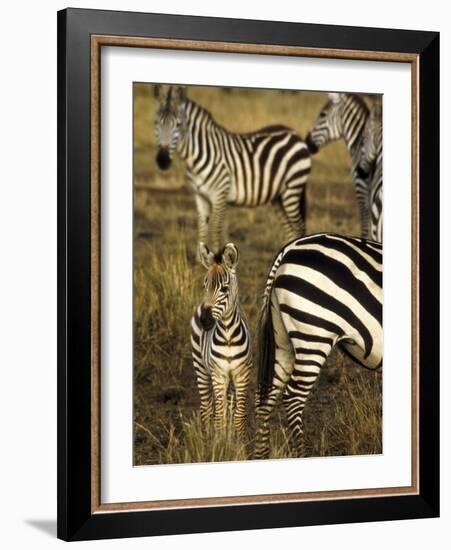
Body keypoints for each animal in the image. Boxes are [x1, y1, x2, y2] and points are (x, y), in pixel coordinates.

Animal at [154, 85, 312, 251]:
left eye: (178, 125)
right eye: (156, 123)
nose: (162, 160)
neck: (200, 154)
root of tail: (294, 133)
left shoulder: (220, 195)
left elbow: (216, 232)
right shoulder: (200, 196)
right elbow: (202, 233)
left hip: (292, 189)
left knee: (299, 227)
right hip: (278, 197)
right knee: (290, 229)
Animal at [191, 242, 254, 440]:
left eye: (224, 289)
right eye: (204, 286)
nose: (204, 320)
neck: (227, 336)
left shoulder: (242, 374)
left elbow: (239, 414)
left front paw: (239, 443)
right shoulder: (218, 375)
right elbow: (219, 415)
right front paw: (219, 443)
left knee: (230, 406)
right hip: (201, 367)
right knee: (206, 406)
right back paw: (206, 437)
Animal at [254, 234, 382, 462]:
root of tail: (288, 249)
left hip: (283, 340)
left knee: (267, 397)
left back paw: (262, 456)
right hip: (314, 335)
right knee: (293, 397)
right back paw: (302, 455)